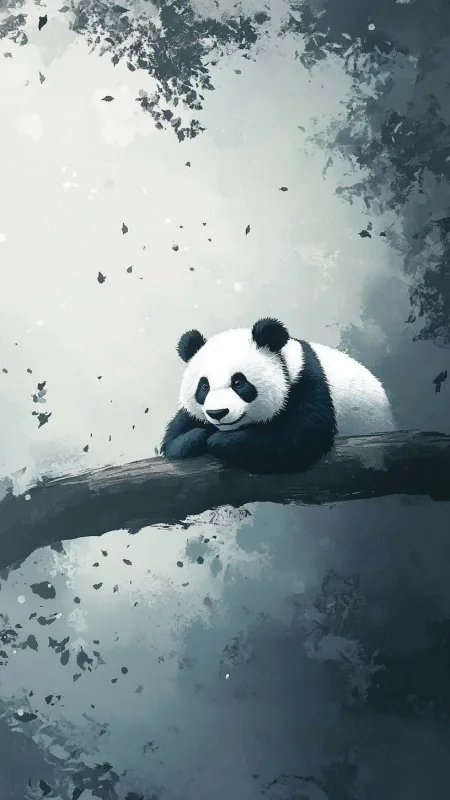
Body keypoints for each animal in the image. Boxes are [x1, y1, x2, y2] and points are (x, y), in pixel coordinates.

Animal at [160, 317, 395, 474]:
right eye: (204, 387)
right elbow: (173, 436)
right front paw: (196, 436)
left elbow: (297, 440)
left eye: (239, 383)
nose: (218, 413)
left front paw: (217, 440)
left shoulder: (308, 383)